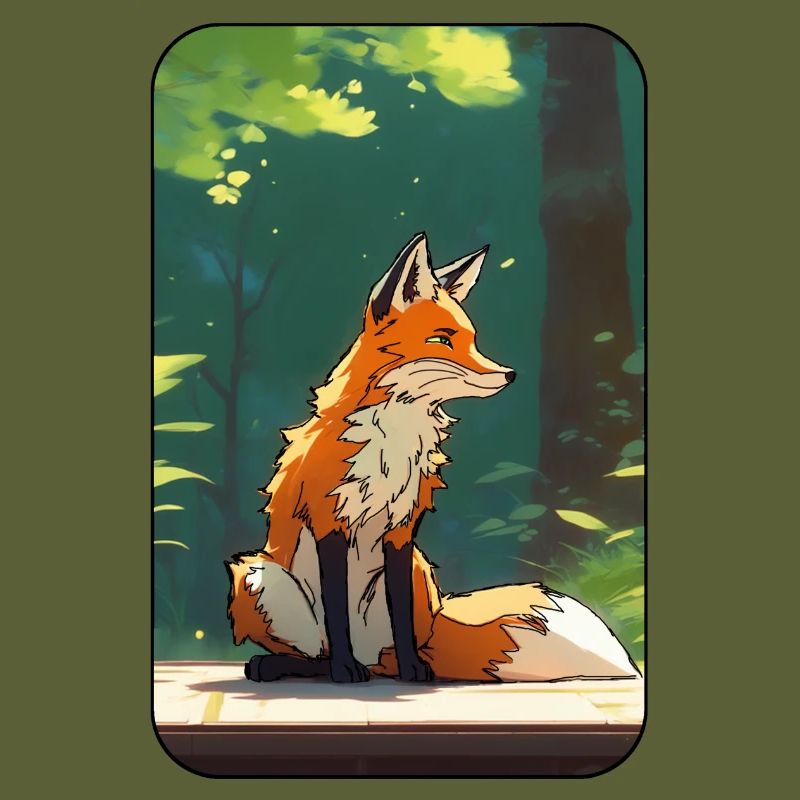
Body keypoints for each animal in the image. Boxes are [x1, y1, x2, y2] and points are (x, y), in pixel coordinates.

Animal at [226, 232, 640, 683]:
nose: (509, 374)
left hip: (416, 571)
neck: (395, 439)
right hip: (255, 576)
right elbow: (337, 614)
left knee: (382, 653)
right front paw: (344, 670)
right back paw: (295, 665)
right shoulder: (328, 522)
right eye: (442, 340)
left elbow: (402, 618)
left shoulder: (402, 530)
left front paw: (413, 669)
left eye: (472, 339)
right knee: (319, 650)